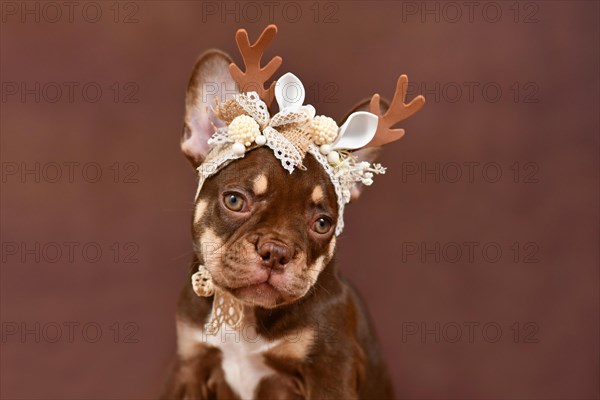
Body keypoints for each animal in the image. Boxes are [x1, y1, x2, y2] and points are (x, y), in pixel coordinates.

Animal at [165, 25, 422, 400]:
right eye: (234, 201)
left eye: (323, 223)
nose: (276, 251)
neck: (245, 316)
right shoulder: (190, 367)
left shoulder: (329, 371)